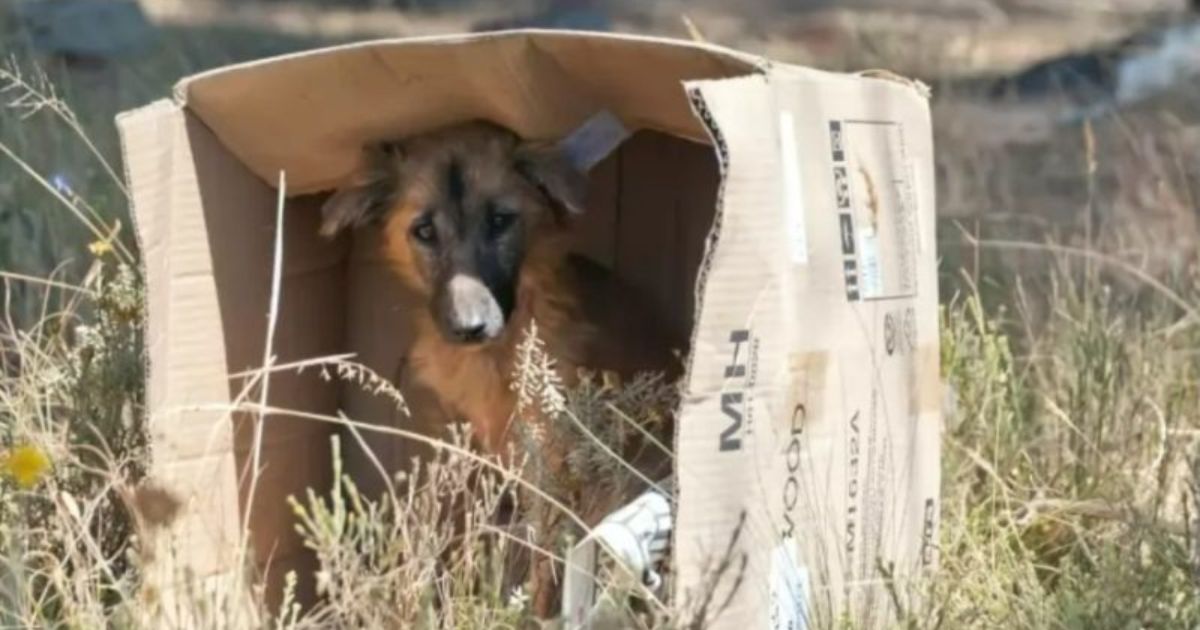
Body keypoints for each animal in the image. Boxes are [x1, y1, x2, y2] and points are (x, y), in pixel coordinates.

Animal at [321, 120, 686, 614]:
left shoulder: (547, 462)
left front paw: (531, 611)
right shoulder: (460, 446)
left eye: (500, 221)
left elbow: (542, 562)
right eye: (424, 230)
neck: (492, 358)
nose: (469, 328)